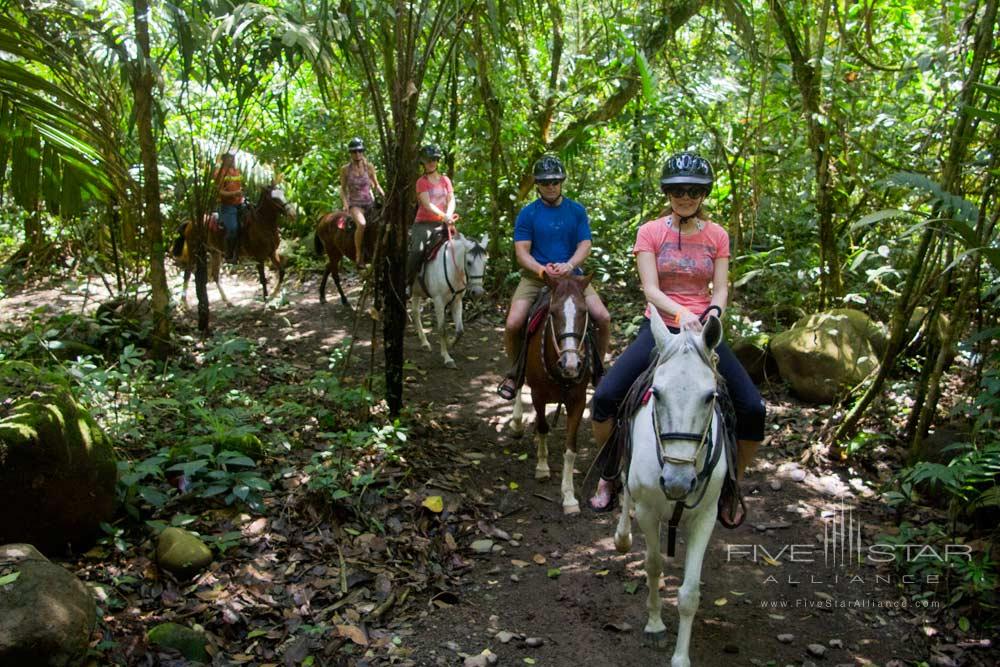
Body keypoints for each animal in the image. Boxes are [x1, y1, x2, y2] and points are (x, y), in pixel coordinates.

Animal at [410, 228, 488, 366]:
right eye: (469, 262)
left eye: (485, 262)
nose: (478, 292)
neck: (453, 268)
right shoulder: (438, 301)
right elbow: (442, 329)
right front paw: (447, 357)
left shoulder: (457, 301)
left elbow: (460, 330)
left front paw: (450, 343)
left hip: (416, 291)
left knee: (415, 312)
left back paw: (424, 342)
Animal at [508, 274, 592, 516]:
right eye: (553, 313)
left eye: (584, 311)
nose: (571, 364)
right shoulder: (538, 395)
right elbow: (545, 428)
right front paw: (543, 467)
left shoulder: (578, 401)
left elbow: (570, 449)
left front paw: (569, 497)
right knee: (518, 380)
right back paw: (517, 422)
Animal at [608, 312, 728, 667]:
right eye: (657, 393)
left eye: (710, 396)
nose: (677, 483)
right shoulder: (648, 512)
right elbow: (653, 565)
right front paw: (655, 624)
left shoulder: (705, 517)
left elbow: (689, 593)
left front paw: (680, 657)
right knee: (625, 487)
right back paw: (622, 536)